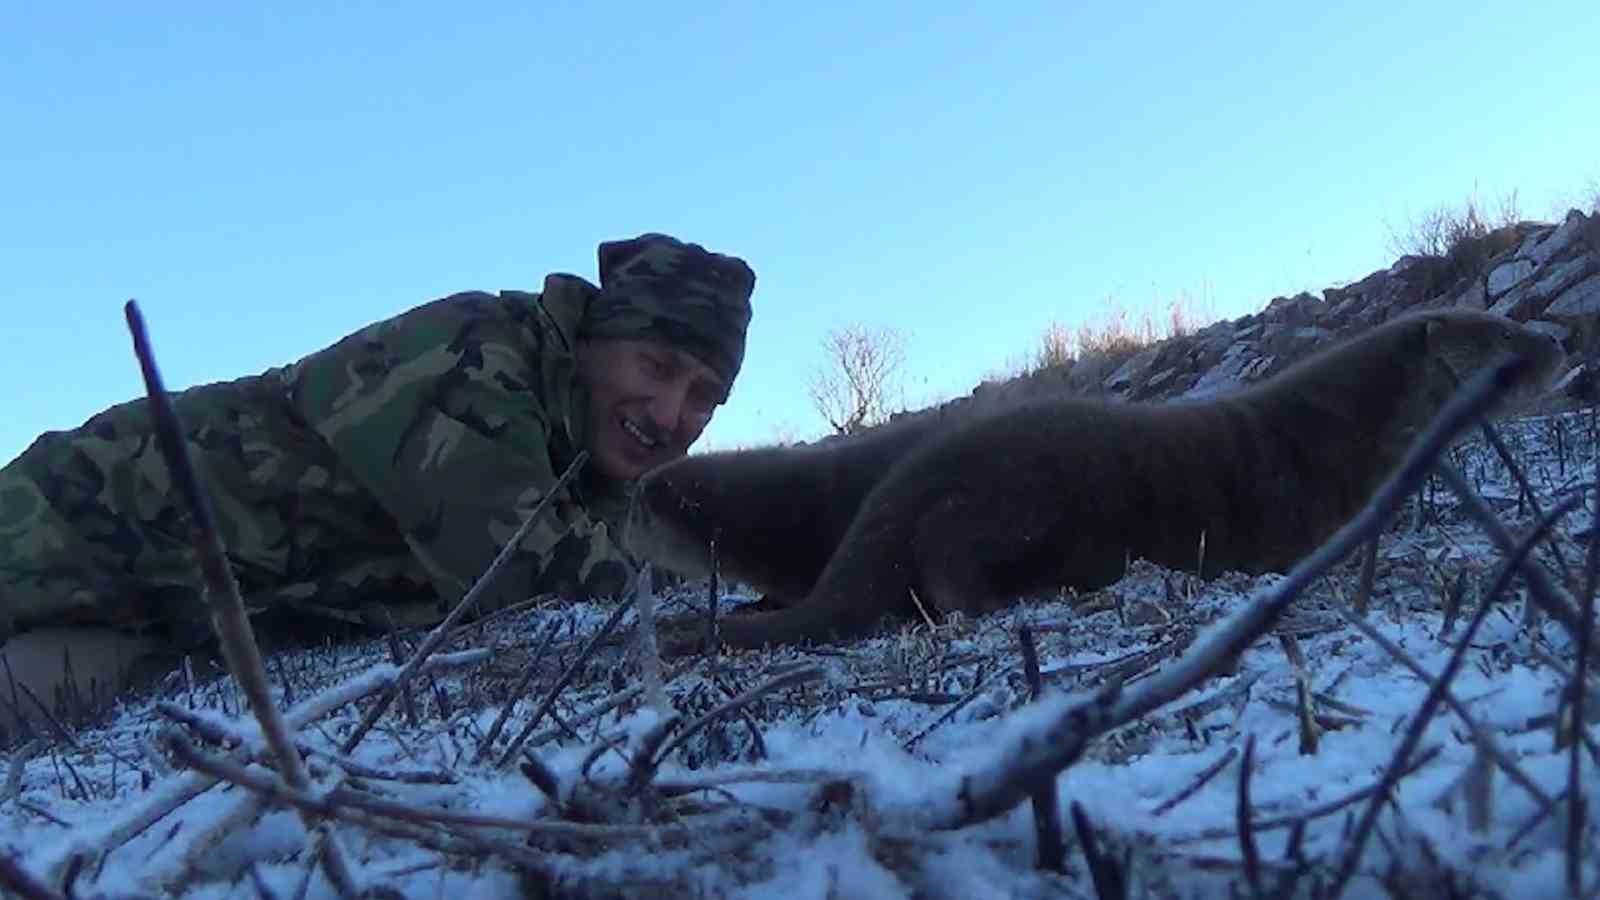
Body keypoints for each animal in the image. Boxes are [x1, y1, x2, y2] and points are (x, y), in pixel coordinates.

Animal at [640, 307, 1561, 650]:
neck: (1338, 431)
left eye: (1516, 324)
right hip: (1010, 501)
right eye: (1507, 346)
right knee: (948, 568)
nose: (1558, 343)